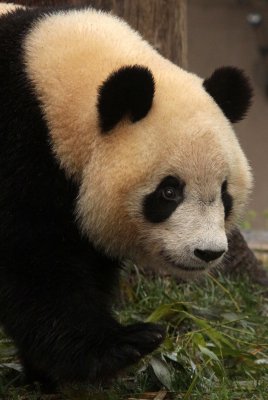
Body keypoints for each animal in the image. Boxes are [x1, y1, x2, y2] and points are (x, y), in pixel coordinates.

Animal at [0, 3, 251, 388]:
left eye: (225, 194)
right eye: (169, 191)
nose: (208, 252)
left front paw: (46, 373)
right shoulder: (20, 150)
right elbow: (33, 264)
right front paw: (123, 344)